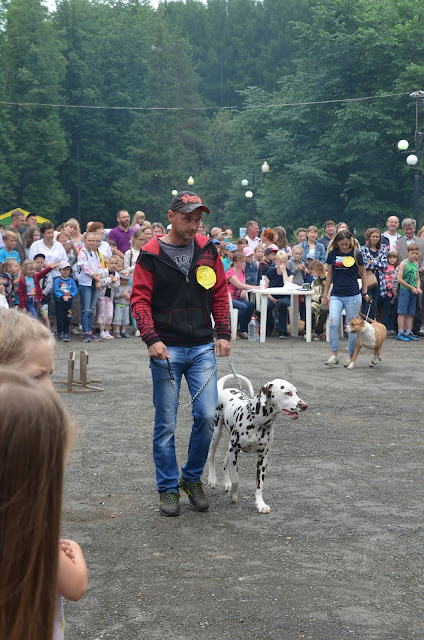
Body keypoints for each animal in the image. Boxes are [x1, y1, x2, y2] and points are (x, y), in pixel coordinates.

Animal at [207, 376, 306, 516]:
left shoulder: (262, 458)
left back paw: (227, 483)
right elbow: (236, 478)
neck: (258, 422)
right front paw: (233, 494)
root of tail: (223, 389)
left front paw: (260, 504)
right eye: (287, 393)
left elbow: (260, 485)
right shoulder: (234, 451)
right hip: (216, 434)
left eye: (296, 392)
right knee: (211, 455)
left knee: (225, 461)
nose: (304, 406)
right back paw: (213, 479)